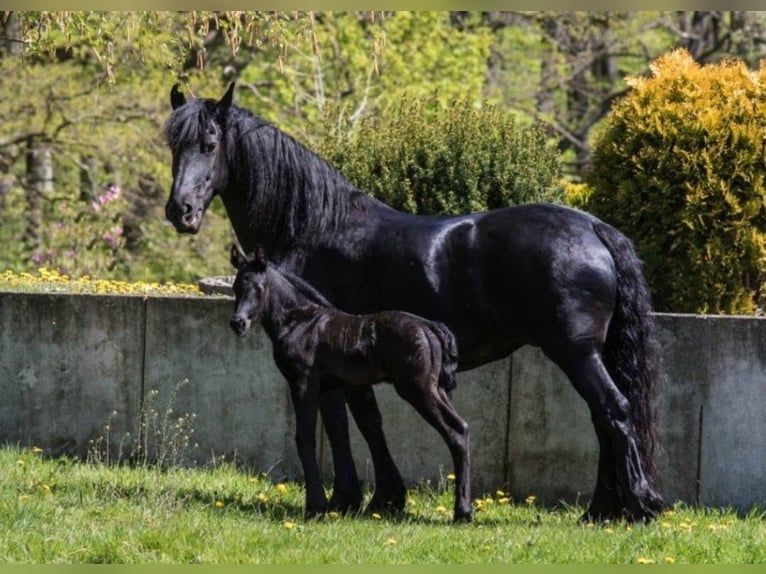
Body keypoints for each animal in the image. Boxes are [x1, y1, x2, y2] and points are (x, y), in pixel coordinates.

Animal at [229, 244, 471, 522]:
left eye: (259, 287)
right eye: (236, 286)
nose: (238, 323)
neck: (299, 322)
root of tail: (431, 327)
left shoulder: (302, 383)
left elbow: (304, 437)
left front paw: (315, 507)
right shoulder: (330, 388)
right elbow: (339, 431)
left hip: (418, 389)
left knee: (455, 429)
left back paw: (462, 513)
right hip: (436, 389)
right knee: (462, 427)